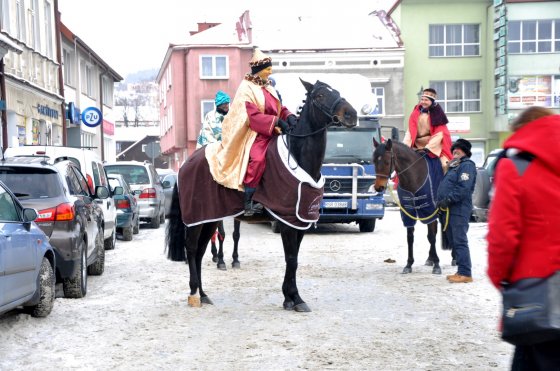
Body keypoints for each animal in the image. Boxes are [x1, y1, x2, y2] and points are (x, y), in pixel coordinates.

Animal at [167, 80, 358, 312]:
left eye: (337, 91)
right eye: (320, 96)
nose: (351, 114)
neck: (298, 157)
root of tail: (185, 164)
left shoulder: (299, 222)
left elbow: (293, 259)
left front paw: (291, 297)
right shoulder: (286, 222)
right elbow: (291, 259)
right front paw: (294, 298)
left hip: (209, 219)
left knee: (201, 250)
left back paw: (203, 294)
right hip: (196, 220)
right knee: (193, 249)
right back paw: (194, 293)